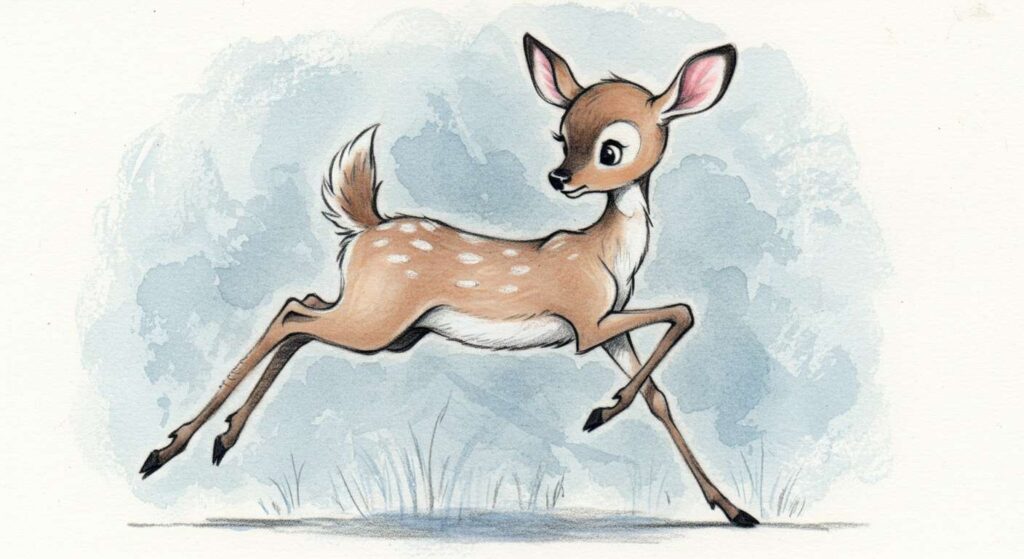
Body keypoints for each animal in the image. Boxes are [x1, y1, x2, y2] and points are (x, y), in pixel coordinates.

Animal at [140, 33, 757, 527]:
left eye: (612, 149)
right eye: (561, 136)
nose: (560, 178)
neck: (608, 257)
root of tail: (365, 228)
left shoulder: (610, 329)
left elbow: (660, 397)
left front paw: (733, 509)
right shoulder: (586, 321)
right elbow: (682, 313)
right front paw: (602, 411)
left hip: (386, 327)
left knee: (302, 308)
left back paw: (221, 438)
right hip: (376, 321)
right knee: (292, 313)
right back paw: (167, 450)